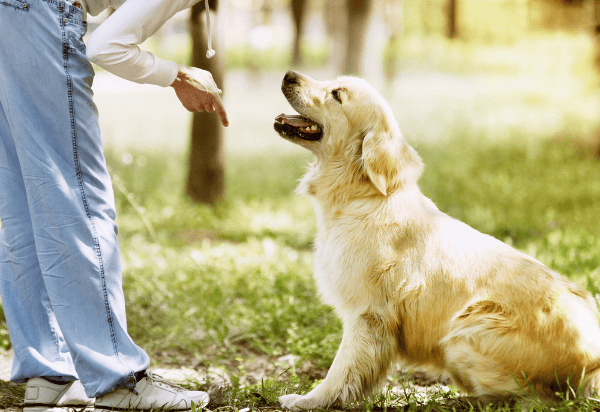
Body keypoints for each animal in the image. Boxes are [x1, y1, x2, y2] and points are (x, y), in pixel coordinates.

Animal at [274, 70, 600, 408]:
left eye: (337, 94)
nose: (289, 75)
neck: (363, 197)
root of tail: (592, 364)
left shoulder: (367, 314)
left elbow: (341, 369)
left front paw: (309, 400)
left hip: (463, 333)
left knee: (533, 398)